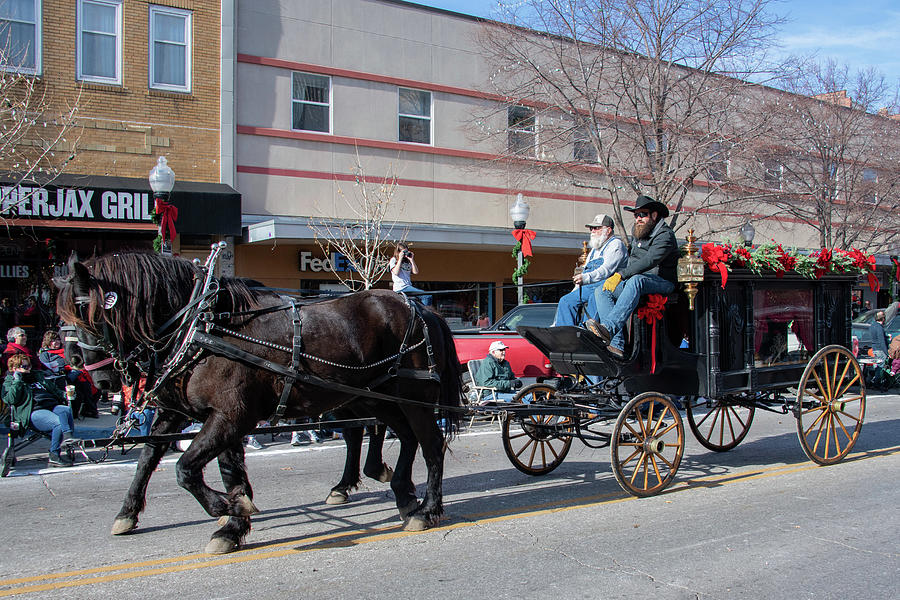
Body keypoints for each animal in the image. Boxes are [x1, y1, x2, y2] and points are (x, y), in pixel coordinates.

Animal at [56, 250, 464, 552]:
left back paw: (426, 509)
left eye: (89, 313)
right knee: (400, 437)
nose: (94, 375)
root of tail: (421, 309)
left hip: (412, 398)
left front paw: (226, 509)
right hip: (373, 399)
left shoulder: (231, 417)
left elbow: (185, 469)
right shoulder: (191, 414)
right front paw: (228, 522)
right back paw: (399, 492)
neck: (203, 325)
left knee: (430, 445)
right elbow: (158, 459)